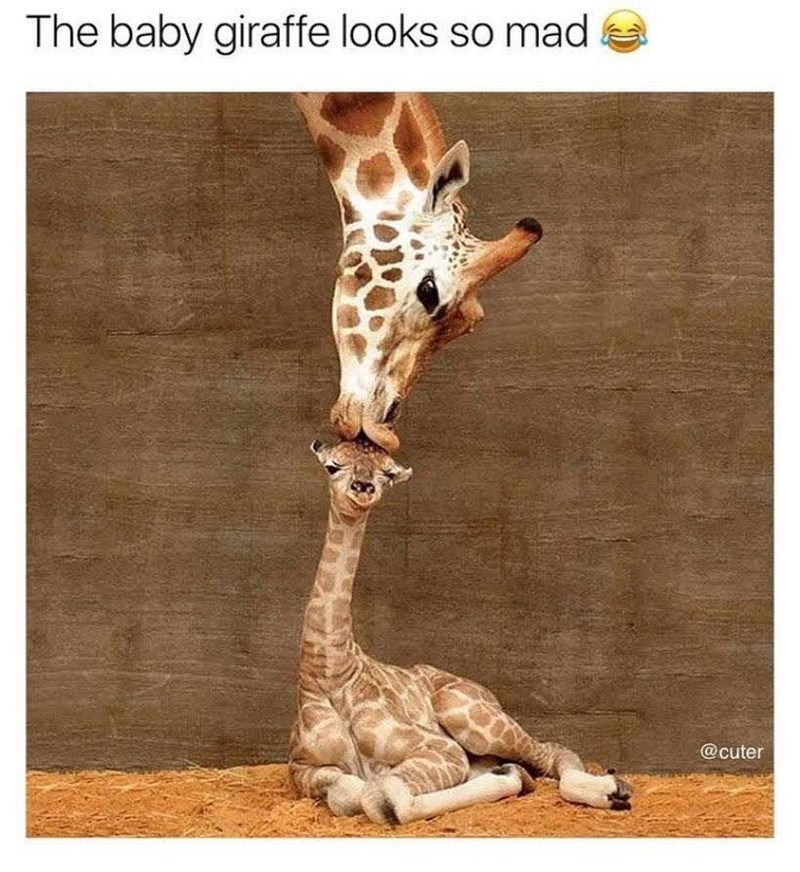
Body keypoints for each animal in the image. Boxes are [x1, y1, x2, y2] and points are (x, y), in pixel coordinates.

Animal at [288, 438, 633, 825]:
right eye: (333, 466)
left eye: (387, 473)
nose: (363, 488)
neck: (329, 671)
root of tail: (487, 693)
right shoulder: (301, 768)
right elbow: (348, 793)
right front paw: (509, 776)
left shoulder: (441, 747)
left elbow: (382, 797)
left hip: (467, 714)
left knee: (552, 751)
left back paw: (612, 790)